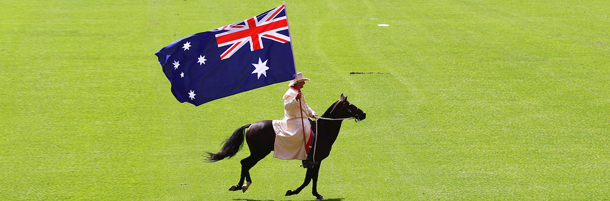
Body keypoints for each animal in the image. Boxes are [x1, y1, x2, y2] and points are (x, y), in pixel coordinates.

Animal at [207, 94, 364, 199]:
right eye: (351, 106)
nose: (364, 114)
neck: (323, 130)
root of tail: (251, 125)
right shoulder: (314, 160)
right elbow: (308, 180)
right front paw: (293, 191)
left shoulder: (316, 161)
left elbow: (314, 179)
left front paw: (316, 194)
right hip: (259, 153)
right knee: (245, 163)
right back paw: (242, 185)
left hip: (258, 153)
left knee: (244, 163)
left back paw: (242, 185)